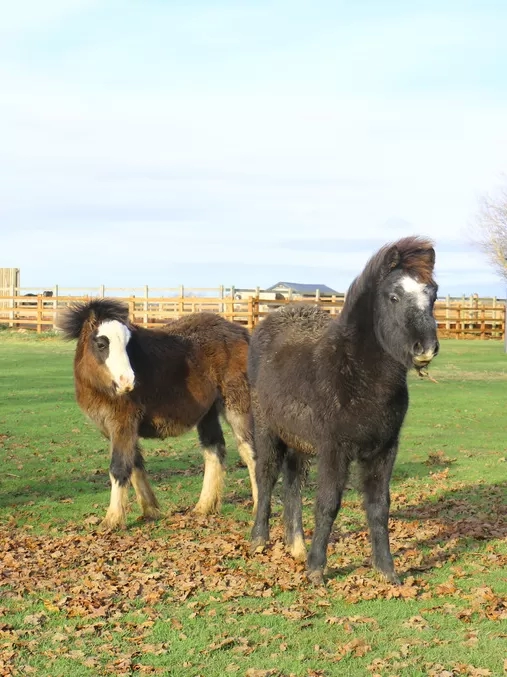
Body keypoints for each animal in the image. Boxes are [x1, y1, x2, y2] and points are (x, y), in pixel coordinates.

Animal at [60, 300, 258, 528]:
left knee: (250, 451)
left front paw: (112, 520)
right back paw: (203, 507)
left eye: (128, 344)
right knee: (214, 449)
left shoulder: (122, 423)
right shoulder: (117, 428)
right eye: (101, 344)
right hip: (208, 412)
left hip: (237, 405)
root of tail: (242, 332)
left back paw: (257, 509)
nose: (127, 381)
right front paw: (150, 510)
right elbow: (135, 464)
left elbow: (119, 467)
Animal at [248, 235, 438, 584]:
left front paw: (387, 569)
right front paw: (316, 569)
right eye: (394, 296)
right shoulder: (334, 449)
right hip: (268, 430)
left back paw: (296, 546)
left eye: (433, 294)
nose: (426, 348)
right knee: (266, 476)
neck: (355, 374)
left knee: (293, 482)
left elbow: (379, 506)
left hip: (299, 440)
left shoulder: (384, 450)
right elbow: (328, 503)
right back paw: (259, 540)